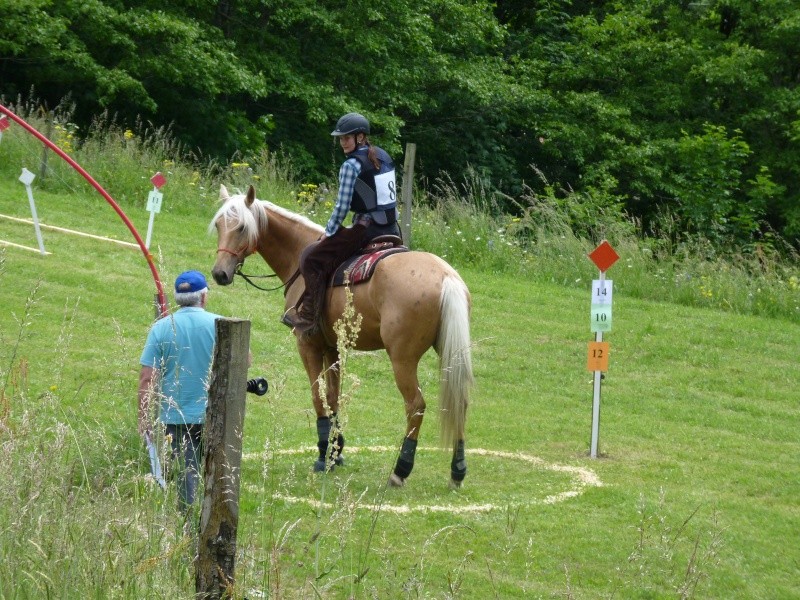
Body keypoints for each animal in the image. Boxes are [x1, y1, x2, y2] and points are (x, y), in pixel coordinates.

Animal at [212, 185, 472, 490]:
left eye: (241, 227)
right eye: (219, 225)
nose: (219, 273)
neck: (298, 253)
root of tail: (446, 277)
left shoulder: (308, 345)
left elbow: (318, 397)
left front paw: (324, 454)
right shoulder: (333, 347)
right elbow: (334, 397)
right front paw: (336, 451)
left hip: (402, 359)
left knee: (416, 406)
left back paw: (401, 469)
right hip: (451, 355)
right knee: (460, 403)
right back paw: (457, 470)